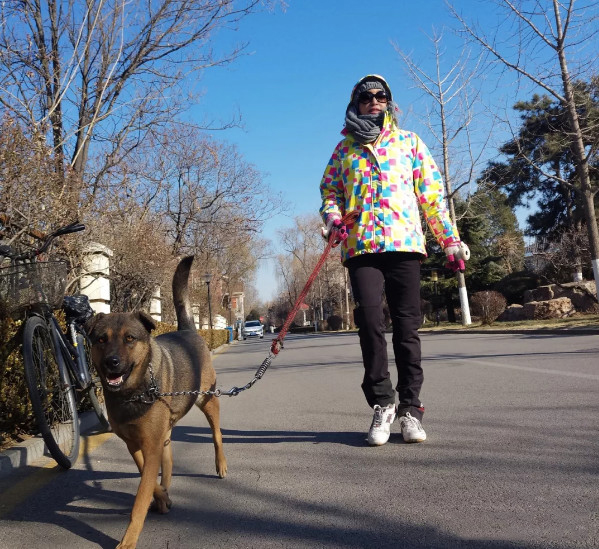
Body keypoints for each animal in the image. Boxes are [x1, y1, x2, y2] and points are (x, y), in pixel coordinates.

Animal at [88, 256, 229, 548]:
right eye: (101, 339)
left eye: (130, 338)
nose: (111, 363)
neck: (134, 391)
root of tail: (188, 329)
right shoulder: (135, 445)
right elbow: (147, 477)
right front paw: (162, 497)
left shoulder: (150, 445)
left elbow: (140, 498)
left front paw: (128, 540)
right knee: (169, 461)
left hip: (208, 400)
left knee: (217, 435)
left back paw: (220, 464)